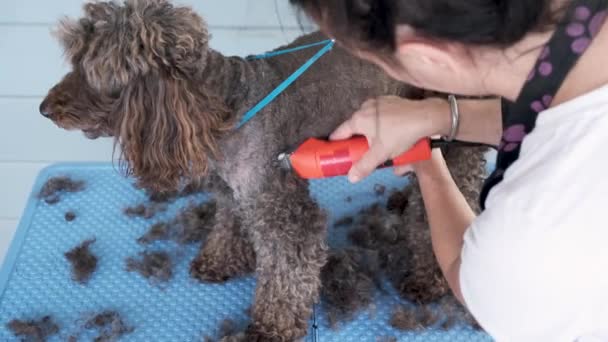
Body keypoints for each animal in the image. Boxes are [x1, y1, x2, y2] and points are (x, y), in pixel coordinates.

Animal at [40, 0, 486, 340]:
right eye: (74, 62)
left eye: (92, 71)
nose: (44, 108)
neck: (222, 106)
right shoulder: (234, 189)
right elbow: (228, 223)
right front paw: (220, 260)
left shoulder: (280, 206)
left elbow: (287, 270)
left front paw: (271, 326)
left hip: (448, 137)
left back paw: (429, 278)